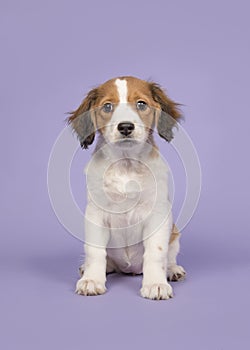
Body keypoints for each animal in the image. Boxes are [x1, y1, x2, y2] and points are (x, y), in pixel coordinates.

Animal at [68, 75, 186, 300]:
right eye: (107, 106)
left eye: (141, 104)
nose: (125, 127)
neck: (126, 164)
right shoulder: (96, 214)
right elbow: (95, 251)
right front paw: (91, 280)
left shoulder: (158, 214)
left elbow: (156, 252)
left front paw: (156, 284)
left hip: (174, 234)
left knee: (170, 257)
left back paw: (172, 270)